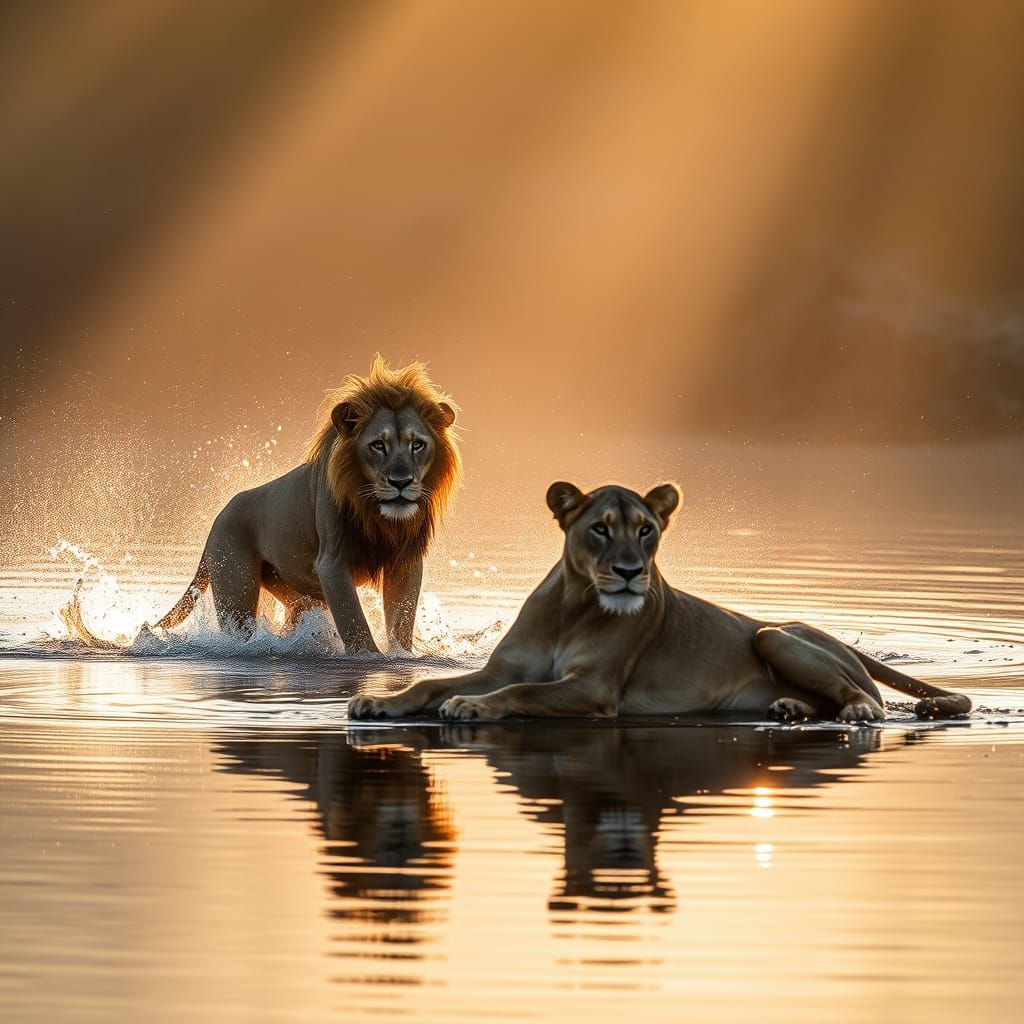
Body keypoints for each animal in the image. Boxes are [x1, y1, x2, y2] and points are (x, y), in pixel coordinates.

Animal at [156, 357, 461, 653]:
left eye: (417, 445)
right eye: (377, 445)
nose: (401, 481)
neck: (377, 517)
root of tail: (220, 515)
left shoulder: (405, 563)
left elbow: (401, 624)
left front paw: (401, 655)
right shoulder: (332, 562)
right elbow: (356, 625)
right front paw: (371, 656)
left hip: (299, 593)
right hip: (236, 586)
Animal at [349, 481, 972, 720]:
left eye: (647, 530)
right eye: (600, 529)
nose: (630, 573)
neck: (574, 605)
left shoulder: (594, 689)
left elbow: (519, 692)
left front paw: (472, 706)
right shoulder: (500, 666)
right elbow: (430, 684)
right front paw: (378, 701)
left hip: (773, 634)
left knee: (864, 699)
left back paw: (855, 710)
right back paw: (788, 709)